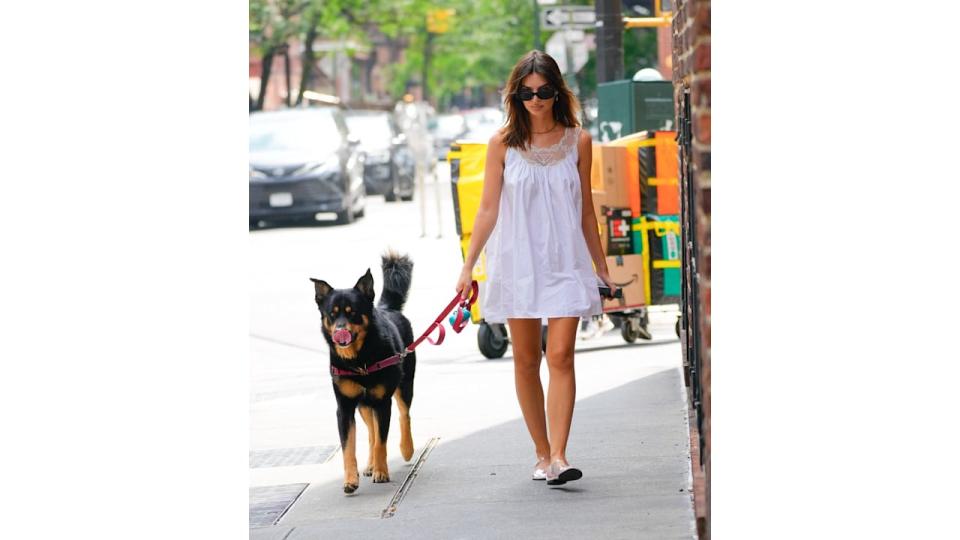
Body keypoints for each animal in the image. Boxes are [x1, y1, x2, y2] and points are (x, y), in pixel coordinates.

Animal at [308, 250, 412, 494]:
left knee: (404, 414)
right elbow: (349, 447)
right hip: (364, 404)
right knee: (371, 432)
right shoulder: (344, 408)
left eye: (352, 313)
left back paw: (406, 449)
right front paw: (350, 480)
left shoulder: (383, 403)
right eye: (332, 314)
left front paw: (382, 472)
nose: (340, 331)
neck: (359, 360)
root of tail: (388, 308)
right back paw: (370, 465)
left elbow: (382, 442)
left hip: (403, 385)